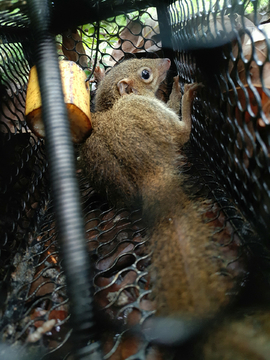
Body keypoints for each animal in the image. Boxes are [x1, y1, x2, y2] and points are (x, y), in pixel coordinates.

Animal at [79, 58, 240, 318]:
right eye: (146, 74)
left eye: (127, 60)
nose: (166, 60)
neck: (111, 104)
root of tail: (151, 173)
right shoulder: (146, 105)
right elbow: (172, 111)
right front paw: (176, 88)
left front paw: (100, 73)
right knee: (182, 132)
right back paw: (188, 96)